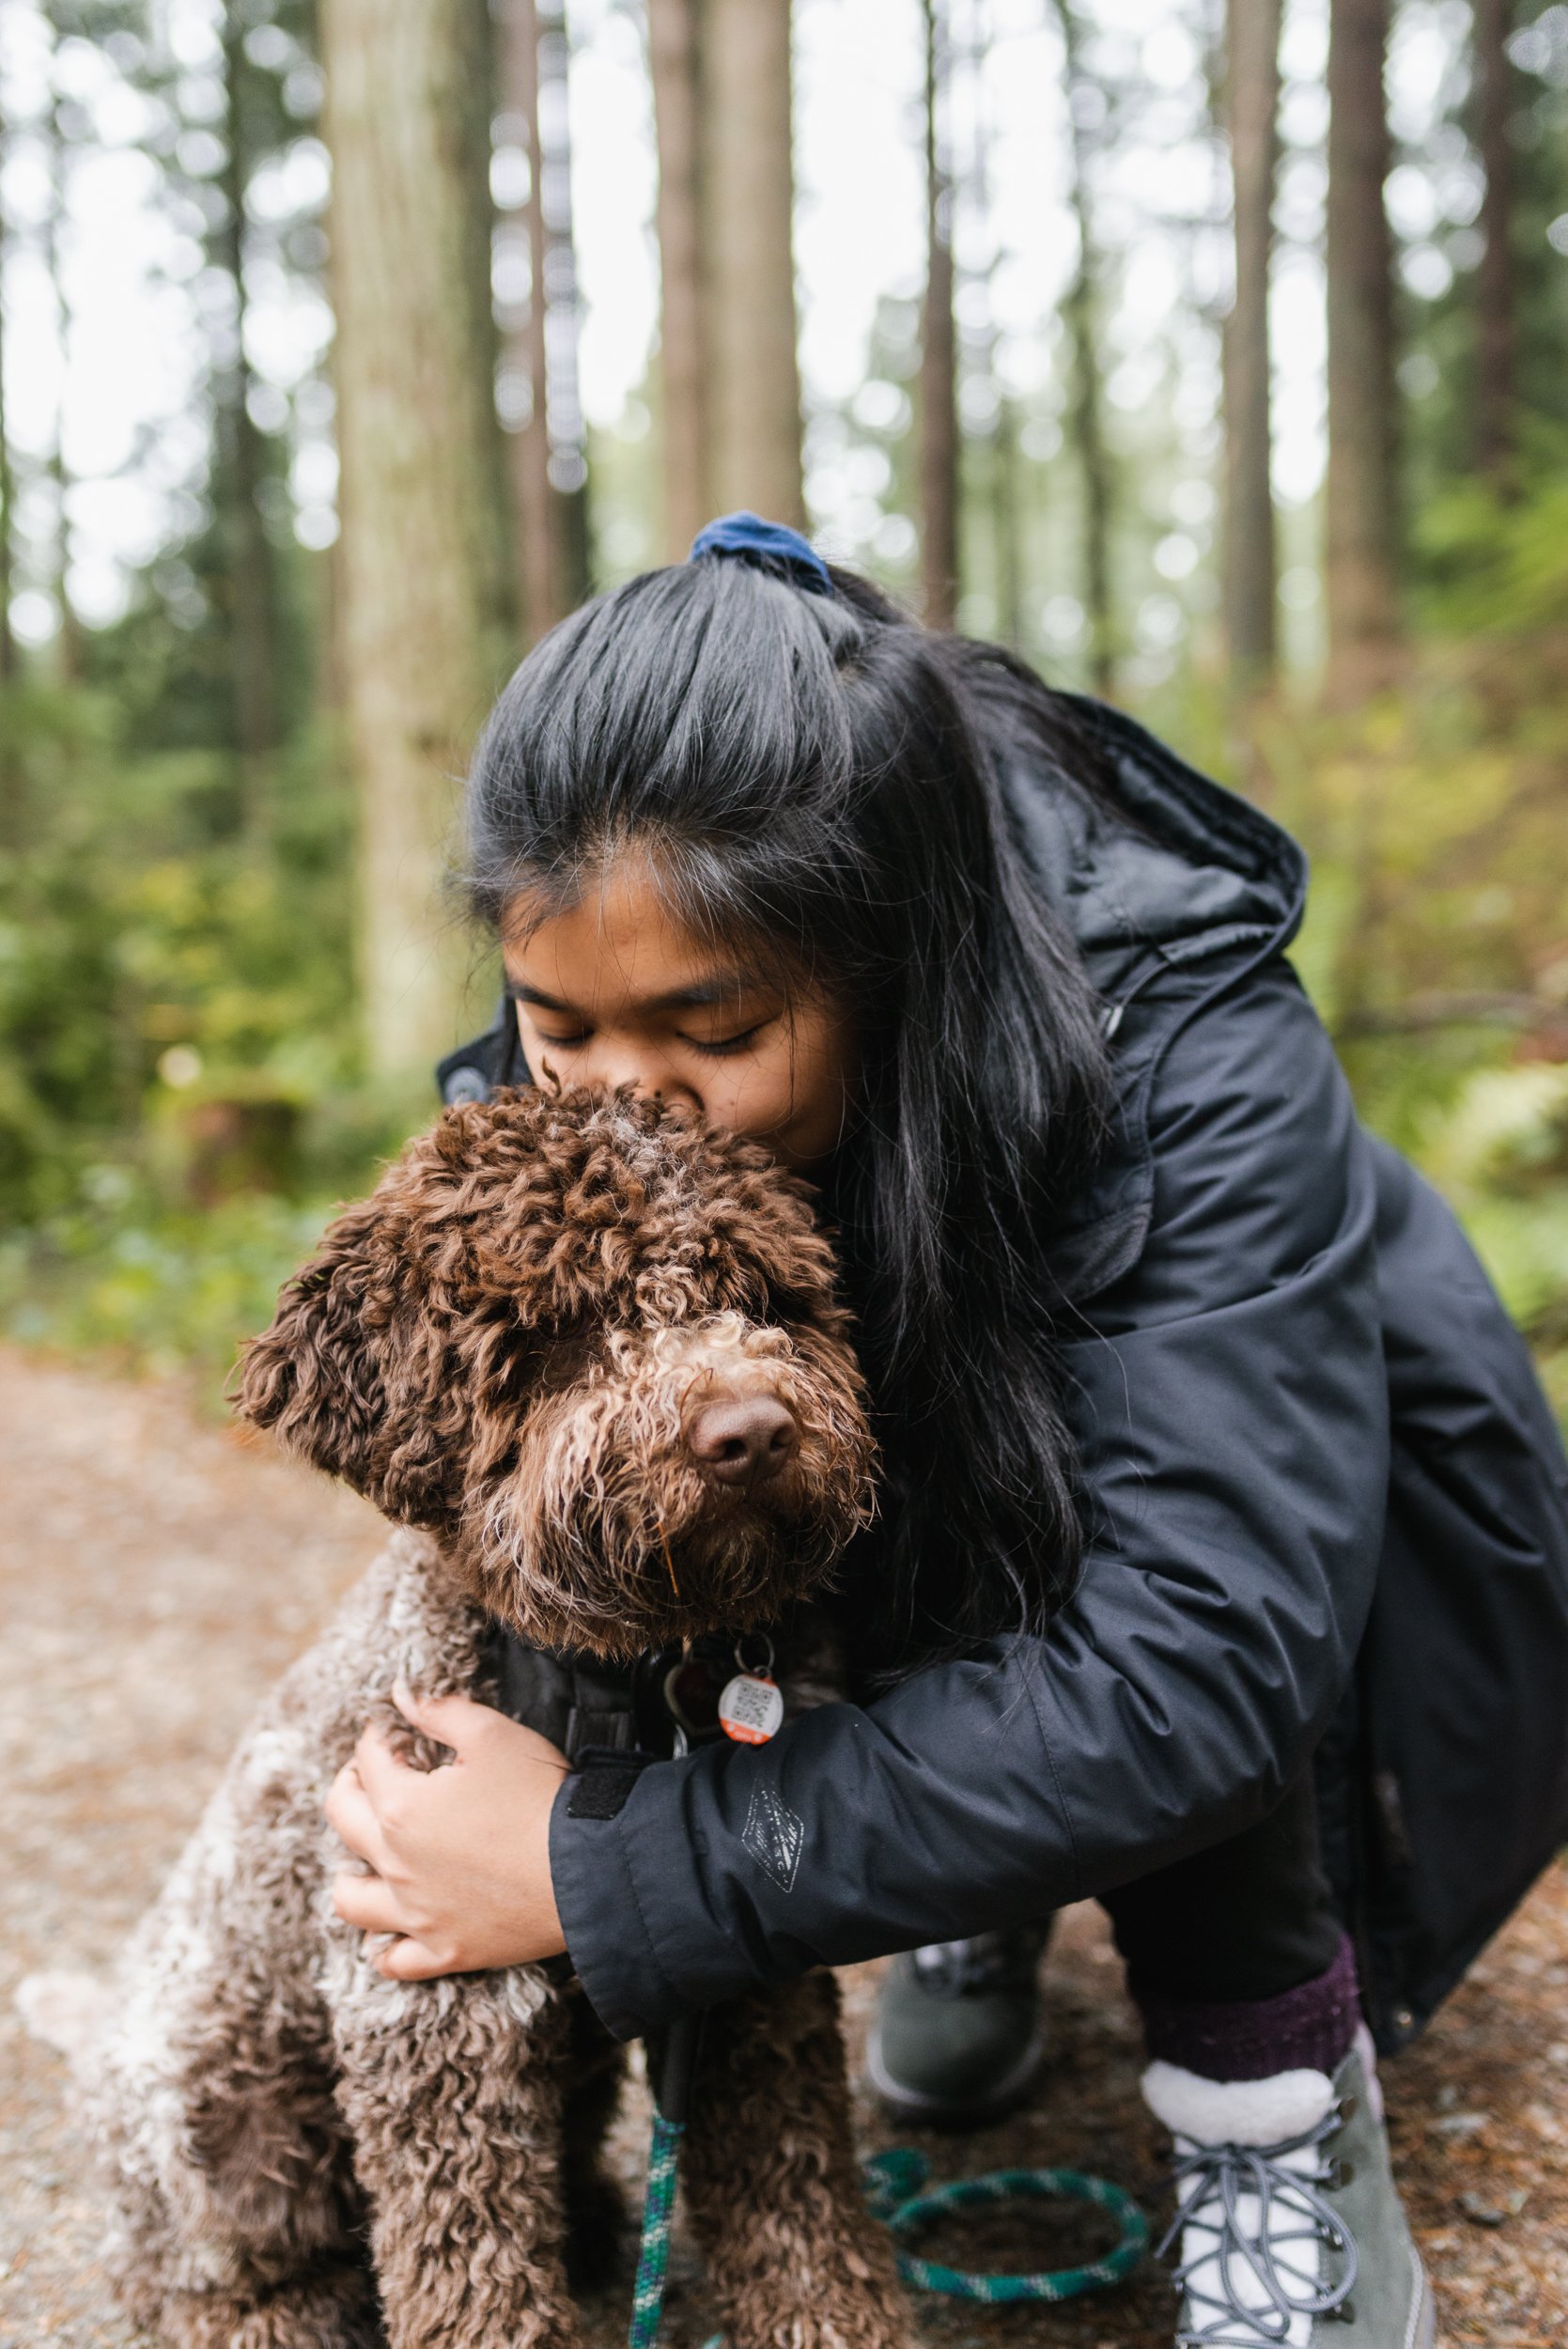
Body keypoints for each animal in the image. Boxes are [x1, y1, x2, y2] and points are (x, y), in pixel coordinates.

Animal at [92, 1090, 910, 2349]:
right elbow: (469, 2264)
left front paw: (834, 2316)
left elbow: (796, 2186)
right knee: (214, 2266)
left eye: (761, 1295)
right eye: (562, 1330)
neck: (629, 1691)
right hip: (224, 2125)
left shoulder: (742, 1976)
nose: (753, 1430)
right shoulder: (428, 2006)